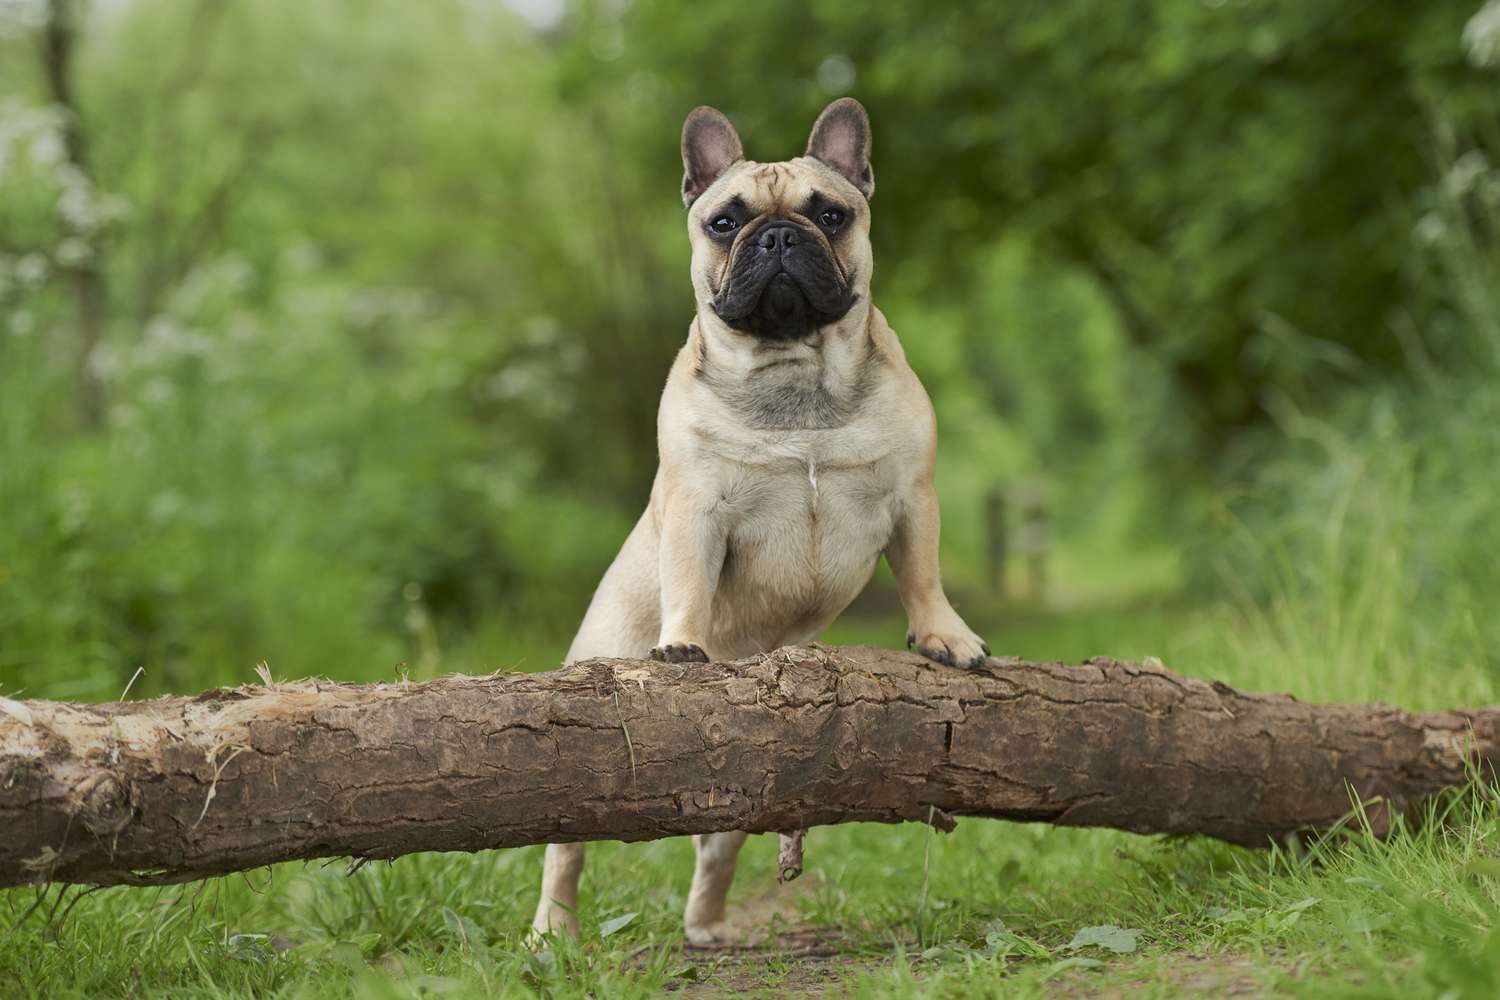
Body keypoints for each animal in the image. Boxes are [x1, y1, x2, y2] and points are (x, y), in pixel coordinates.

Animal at [534, 99, 990, 947]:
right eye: (724, 222)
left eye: (832, 214)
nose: (778, 237)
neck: (795, 375)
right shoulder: (697, 508)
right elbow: (688, 580)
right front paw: (683, 643)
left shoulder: (913, 497)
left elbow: (923, 575)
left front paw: (945, 637)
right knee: (564, 851)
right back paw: (551, 933)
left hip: (743, 793)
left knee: (717, 845)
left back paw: (708, 929)